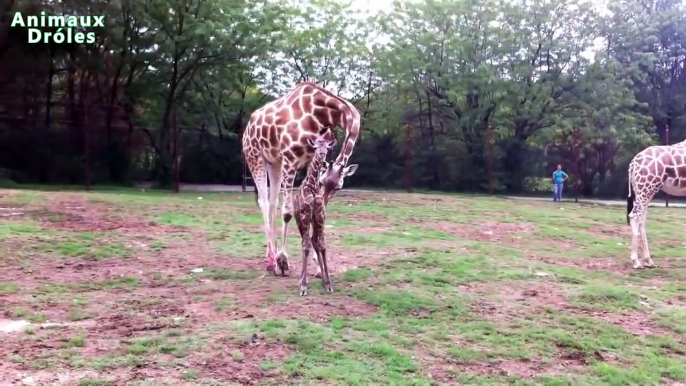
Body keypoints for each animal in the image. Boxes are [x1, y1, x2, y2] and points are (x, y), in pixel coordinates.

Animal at [242, 81, 362, 274]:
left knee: (272, 203)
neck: (321, 114)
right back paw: (272, 260)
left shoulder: (311, 159)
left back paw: (270, 256)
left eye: (338, 187)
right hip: (254, 156)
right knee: (264, 202)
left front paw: (319, 267)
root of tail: (248, 126)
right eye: (322, 182)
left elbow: (310, 210)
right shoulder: (290, 159)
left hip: (274, 163)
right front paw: (282, 260)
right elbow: (287, 212)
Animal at [296, 131, 338, 298]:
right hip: (300, 221)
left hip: (314, 221)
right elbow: (307, 247)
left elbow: (322, 245)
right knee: (305, 242)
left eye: (327, 147)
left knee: (313, 241)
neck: (313, 186)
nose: (322, 154)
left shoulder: (320, 215)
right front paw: (303, 286)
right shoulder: (305, 214)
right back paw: (301, 280)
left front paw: (328, 283)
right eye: (315, 146)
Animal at [628, 140, 686, 270]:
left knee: (642, 218)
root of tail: (633, 163)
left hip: (642, 189)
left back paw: (648, 260)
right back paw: (636, 262)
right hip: (646, 187)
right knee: (635, 216)